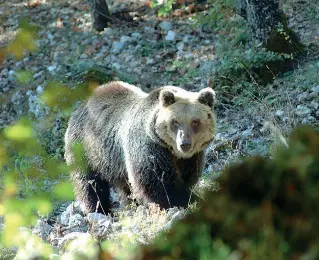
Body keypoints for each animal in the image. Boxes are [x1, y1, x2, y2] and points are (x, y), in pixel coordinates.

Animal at [65, 80, 218, 213]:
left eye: (195, 122)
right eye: (175, 122)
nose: (184, 143)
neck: (172, 151)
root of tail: (80, 106)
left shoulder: (192, 157)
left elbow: (188, 177)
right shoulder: (148, 147)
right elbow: (158, 183)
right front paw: (187, 200)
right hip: (86, 148)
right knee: (89, 183)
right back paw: (99, 209)